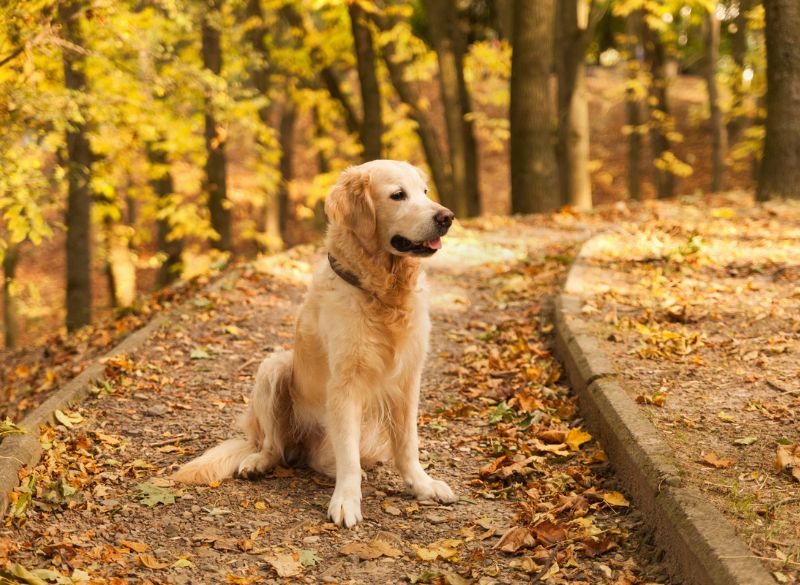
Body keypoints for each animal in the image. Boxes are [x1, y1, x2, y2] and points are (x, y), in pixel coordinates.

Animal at [174, 159, 456, 524]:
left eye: (425, 191)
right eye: (398, 195)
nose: (447, 217)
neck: (381, 292)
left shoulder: (408, 379)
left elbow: (408, 444)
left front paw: (422, 485)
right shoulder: (344, 384)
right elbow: (348, 452)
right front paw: (347, 500)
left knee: (319, 459)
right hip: (274, 367)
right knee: (275, 447)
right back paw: (258, 462)